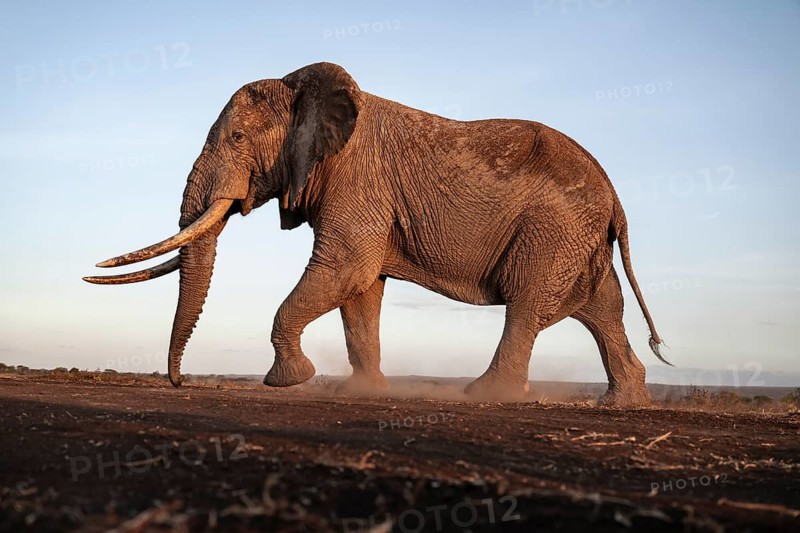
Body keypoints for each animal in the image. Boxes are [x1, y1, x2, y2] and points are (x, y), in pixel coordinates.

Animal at [84, 62, 668, 406]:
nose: (179, 383)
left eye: (236, 138)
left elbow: (347, 267)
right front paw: (359, 390)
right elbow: (361, 292)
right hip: (577, 237)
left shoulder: (355, 179)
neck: (304, 92)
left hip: (553, 231)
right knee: (602, 308)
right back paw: (624, 402)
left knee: (528, 304)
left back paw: (485, 394)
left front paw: (289, 380)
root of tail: (615, 197)